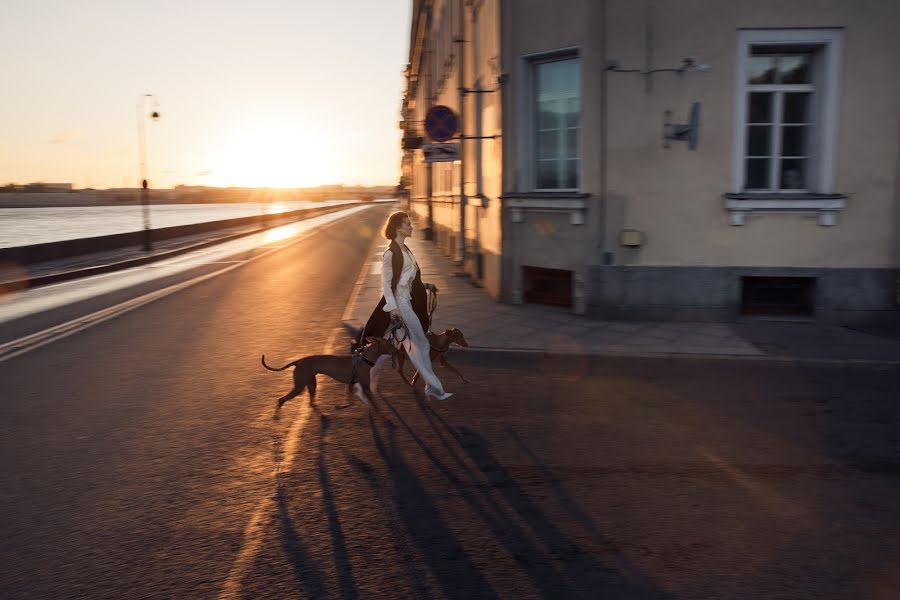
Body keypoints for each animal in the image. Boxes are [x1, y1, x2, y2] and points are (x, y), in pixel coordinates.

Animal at [264, 338, 398, 408]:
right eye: (390, 345)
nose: (397, 350)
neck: (364, 359)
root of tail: (298, 361)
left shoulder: (351, 384)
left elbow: (349, 398)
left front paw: (346, 405)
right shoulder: (365, 387)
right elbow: (375, 404)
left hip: (311, 384)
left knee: (310, 401)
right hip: (299, 387)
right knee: (281, 399)